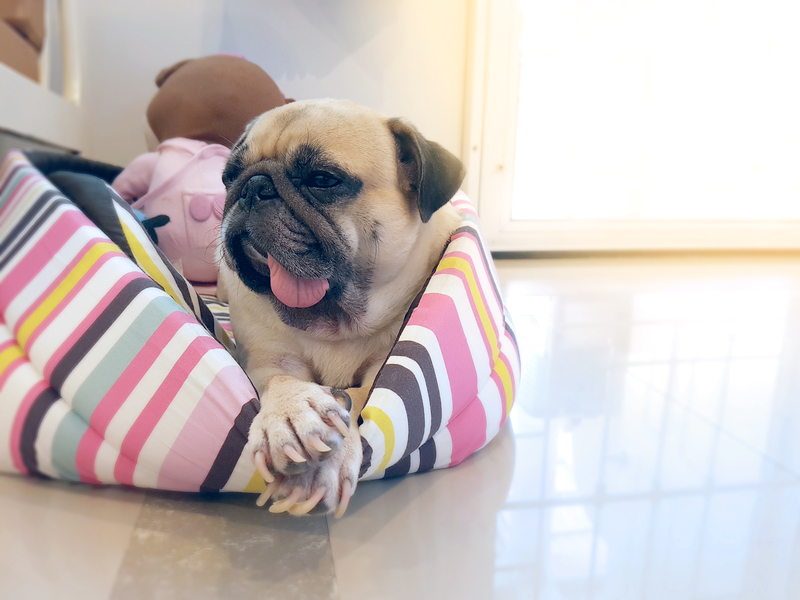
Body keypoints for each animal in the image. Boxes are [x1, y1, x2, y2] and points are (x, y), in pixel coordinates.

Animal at [219, 98, 466, 516]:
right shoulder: (269, 360)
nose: (252, 186)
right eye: (228, 177)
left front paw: (324, 463)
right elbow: (284, 383)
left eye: (322, 180)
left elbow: (362, 397)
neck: (334, 318)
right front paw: (292, 412)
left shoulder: (382, 367)